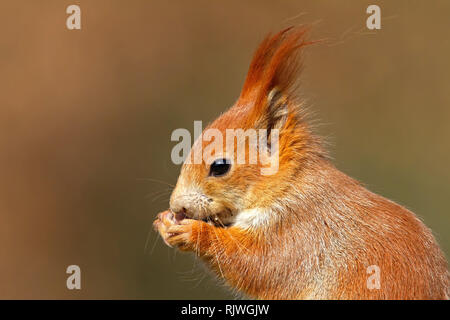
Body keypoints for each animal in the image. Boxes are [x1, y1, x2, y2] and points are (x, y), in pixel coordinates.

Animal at [153, 26, 448, 298]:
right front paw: (164, 221)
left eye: (220, 167)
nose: (176, 205)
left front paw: (191, 232)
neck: (290, 185)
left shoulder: (300, 230)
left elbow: (257, 263)